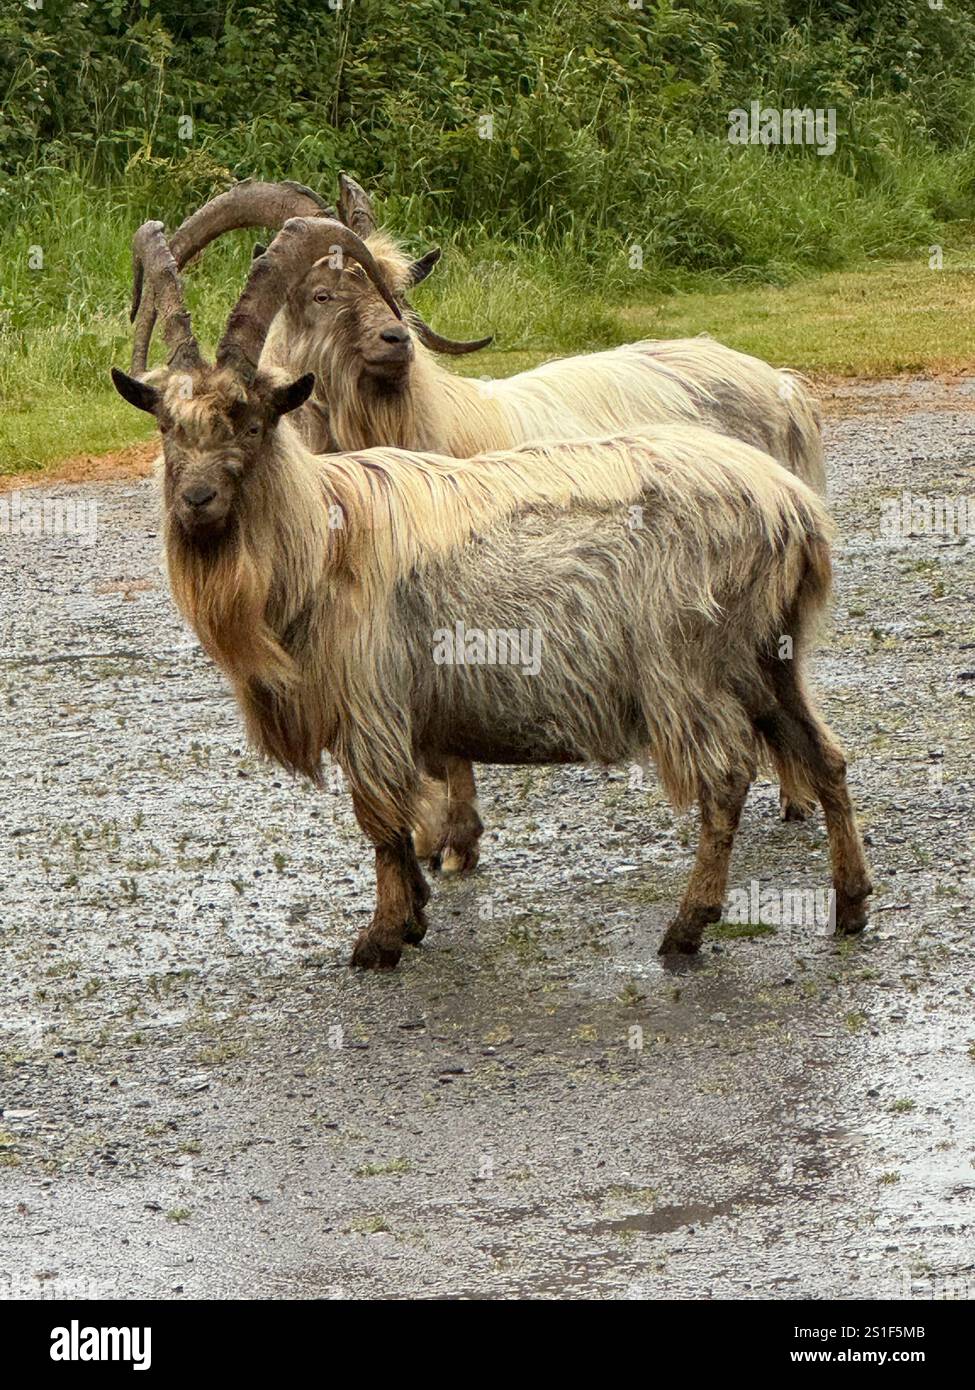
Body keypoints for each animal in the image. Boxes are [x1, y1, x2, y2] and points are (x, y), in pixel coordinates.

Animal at [111, 216, 872, 971]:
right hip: (768, 653)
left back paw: (687, 928)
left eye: (250, 420)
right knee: (825, 753)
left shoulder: (370, 700)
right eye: (167, 425)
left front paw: (381, 936)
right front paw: (416, 909)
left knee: (725, 780)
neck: (325, 534)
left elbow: (378, 818)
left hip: (689, 666)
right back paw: (850, 905)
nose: (196, 500)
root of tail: (791, 507)